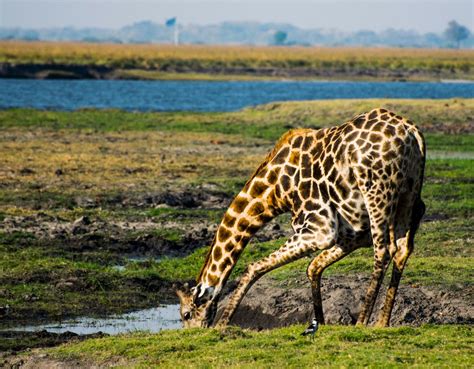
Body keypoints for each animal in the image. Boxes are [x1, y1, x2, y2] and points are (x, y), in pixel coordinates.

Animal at [177, 107, 426, 328]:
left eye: (186, 314)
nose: (196, 332)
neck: (276, 190)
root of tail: (412, 131)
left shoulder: (320, 228)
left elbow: (253, 267)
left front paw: (223, 324)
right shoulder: (351, 233)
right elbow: (313, 266)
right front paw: (320, 322)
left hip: (376, 190)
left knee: (383, 251)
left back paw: (362, 322)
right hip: (409, 193)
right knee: (402, 249)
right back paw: (382, 322)